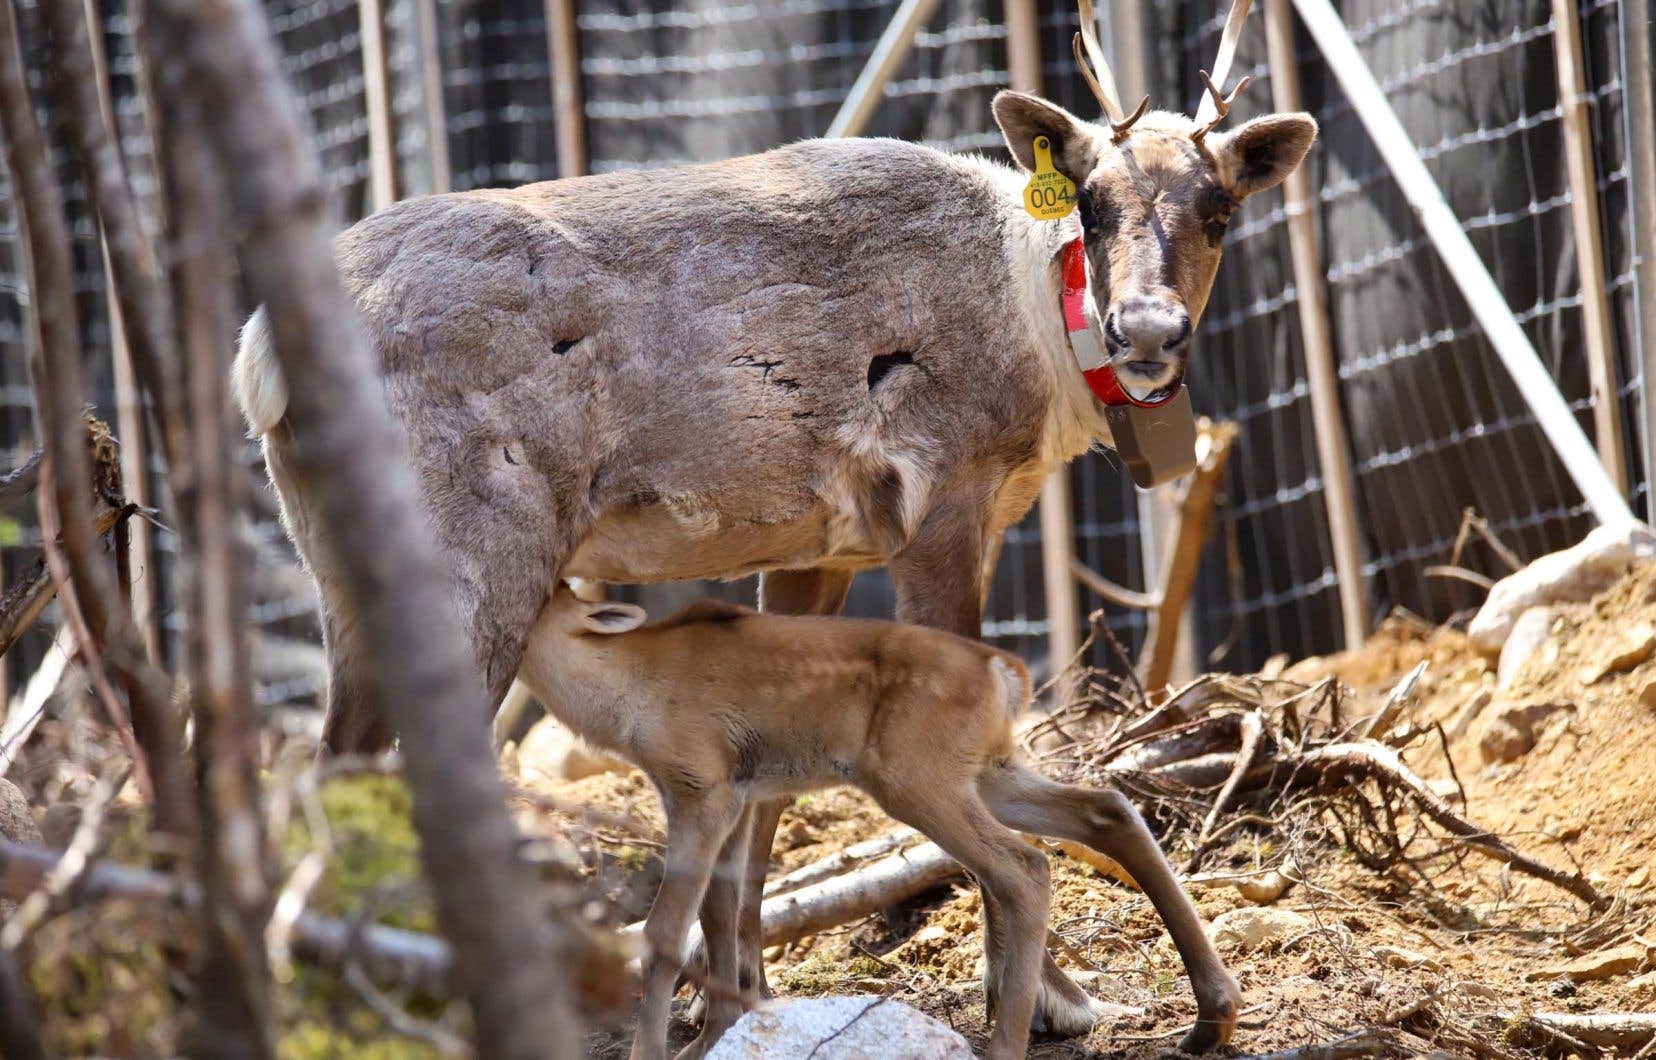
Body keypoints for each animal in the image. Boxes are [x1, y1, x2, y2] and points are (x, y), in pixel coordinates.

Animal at [516, 579, 1245, 1060]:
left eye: (546, 594)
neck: (622, 693)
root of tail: (1006, 670)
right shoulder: (739, 794)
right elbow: (721, 918)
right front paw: (717, 1037)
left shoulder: (701, 786)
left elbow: (666, 931)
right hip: (987, 771)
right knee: (1105, 809)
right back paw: (1211, 1015)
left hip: (914, 780)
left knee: (1025, 865)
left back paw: (1006, 1042)